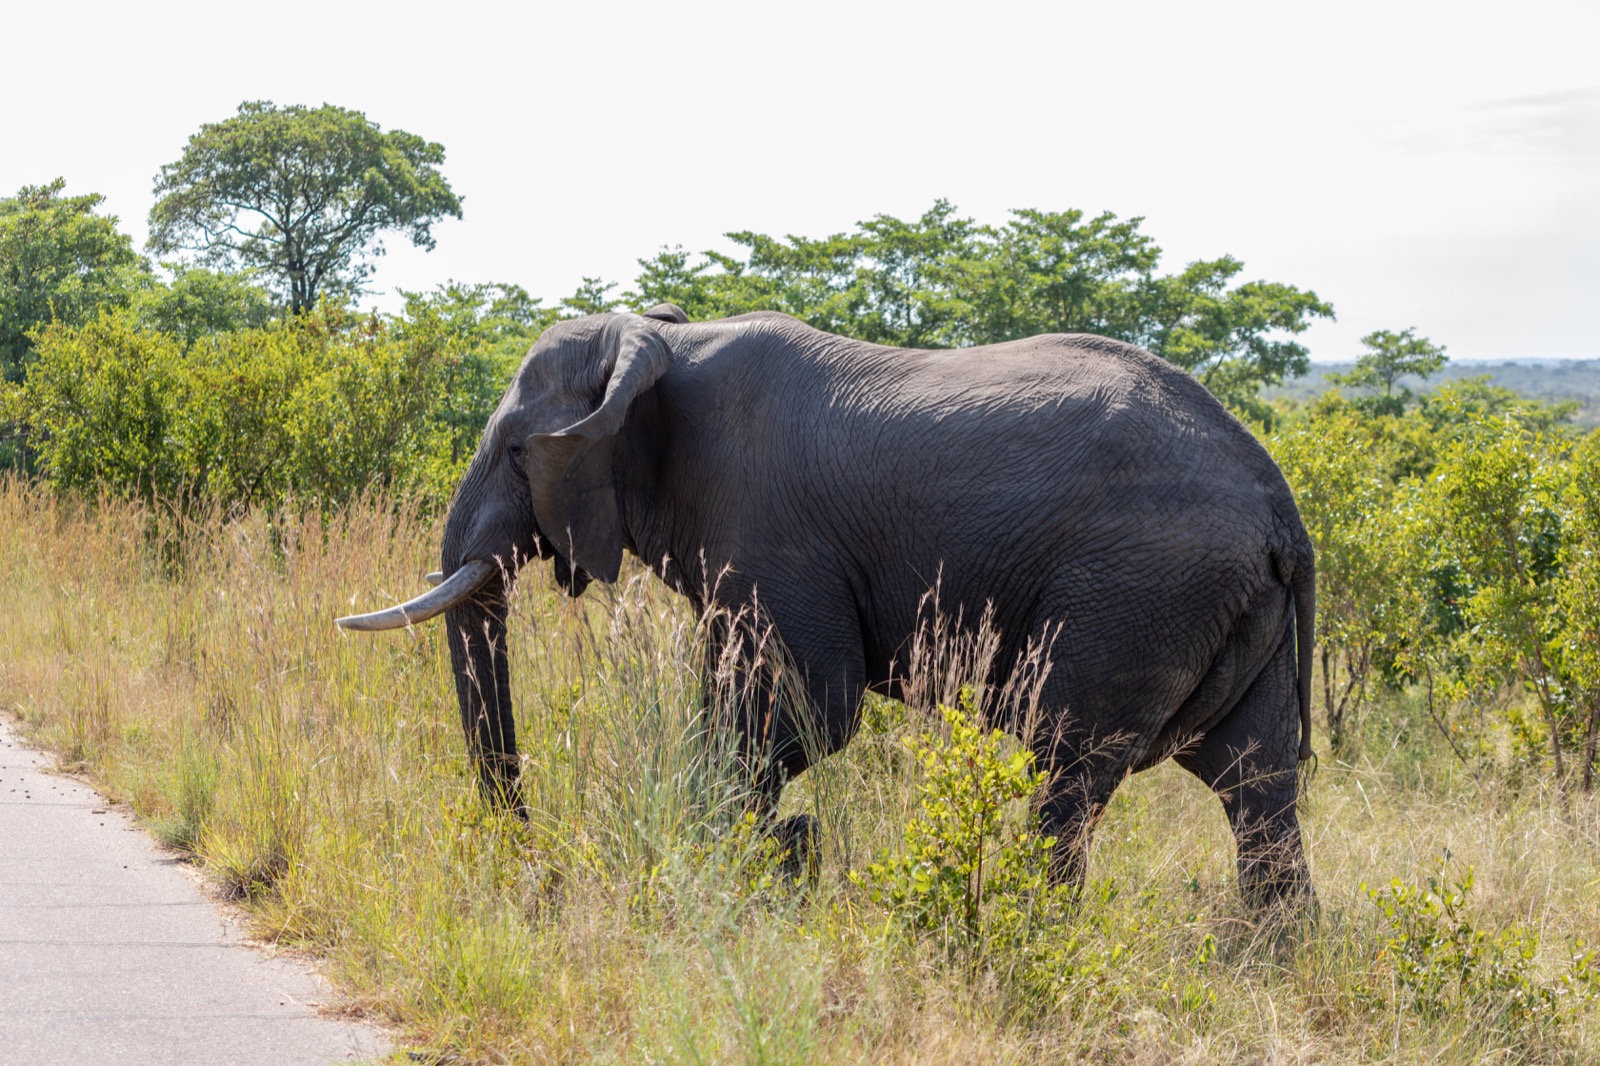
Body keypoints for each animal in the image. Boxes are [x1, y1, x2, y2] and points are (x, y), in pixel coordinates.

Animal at [337, 303, 1316, 910]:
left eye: (514, 448)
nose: (534, 873)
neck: (657, 345)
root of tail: (1278, 502)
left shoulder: (770, 531)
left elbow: (806, 704)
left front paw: (765, 860)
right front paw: (775, 857)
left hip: (1136, 593)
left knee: (1065, 770)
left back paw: (1030, 931)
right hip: (1211, 606)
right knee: (1256, 784)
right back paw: (1269, 962)